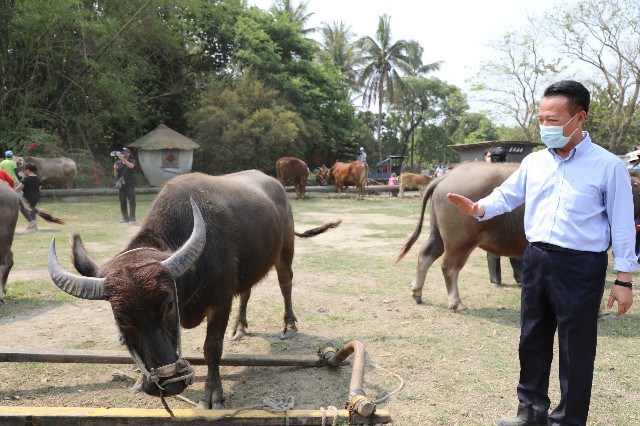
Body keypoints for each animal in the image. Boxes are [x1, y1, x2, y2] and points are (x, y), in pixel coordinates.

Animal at [48, 170, 342, 410]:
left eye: (169, 304)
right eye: (120, 318)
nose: (167, 384)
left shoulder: (220, 300)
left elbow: (212, 347)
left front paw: (213, 394)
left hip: (285, 250)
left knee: (285, 283)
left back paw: (288, 325)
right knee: (246, 292)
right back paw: (240, 327)